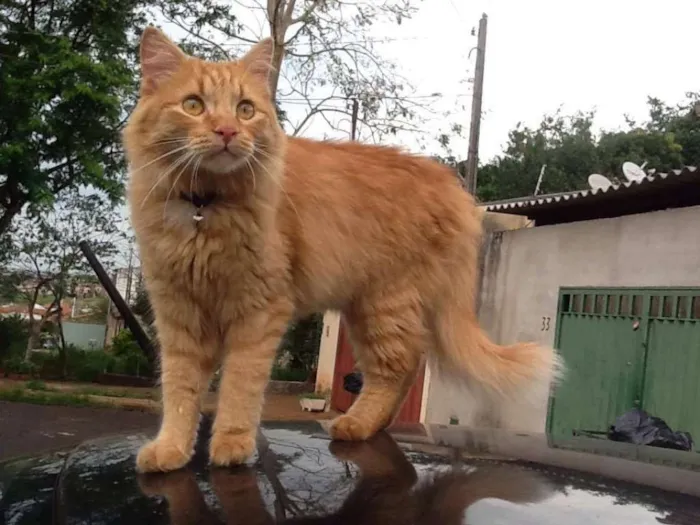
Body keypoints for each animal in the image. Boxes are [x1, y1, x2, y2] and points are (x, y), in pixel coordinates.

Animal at [124, 26, 564, 472]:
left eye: (245, 110)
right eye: (193, 105)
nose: (228, 132)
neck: (204, 206)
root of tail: (452, 188)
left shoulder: (258, 310)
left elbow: (238, 387)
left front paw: (232, 445)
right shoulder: (178, 312)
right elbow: (180, 391)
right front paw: (172, 449)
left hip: (384, 305)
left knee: (401, 366)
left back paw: (357, 424)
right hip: (368, 308)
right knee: (404, 367)